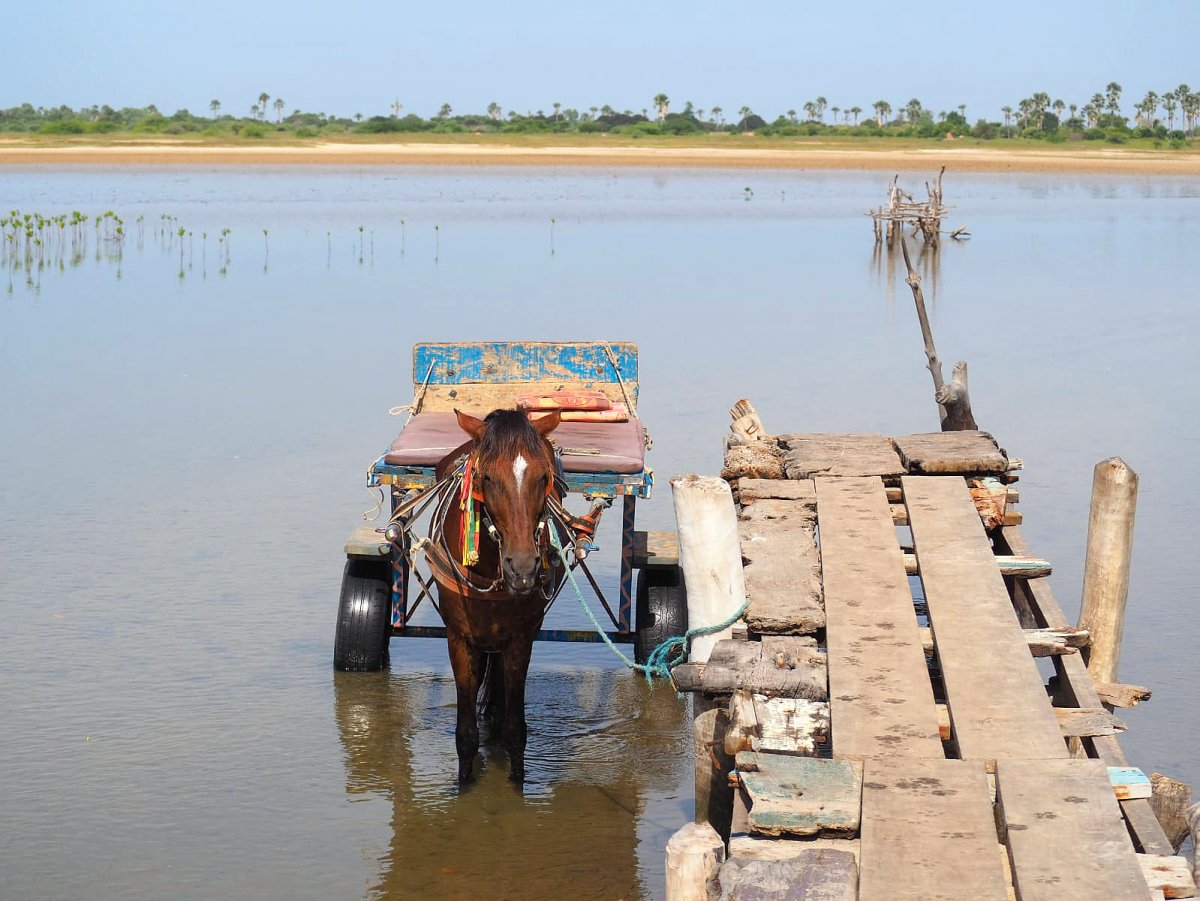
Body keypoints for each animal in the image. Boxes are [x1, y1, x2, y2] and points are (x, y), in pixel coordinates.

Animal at [429, 407, 564, 782]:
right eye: (486, 478)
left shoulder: (521, 639)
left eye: (543, 476)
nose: (523, 566)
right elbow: (465, 736)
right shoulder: (458, 638)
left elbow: (516, 731)